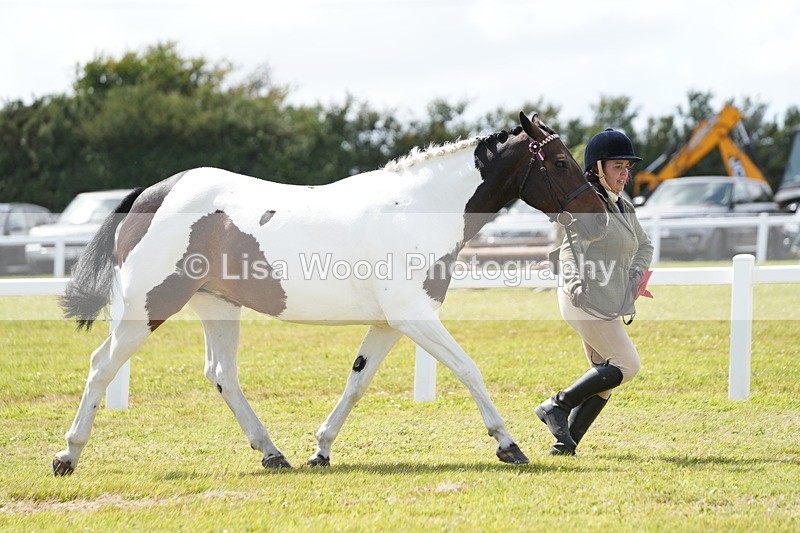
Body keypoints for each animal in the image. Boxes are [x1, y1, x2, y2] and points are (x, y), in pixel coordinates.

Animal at [52, 112, 608, 475]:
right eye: (560, 162)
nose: (600, 217)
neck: (416, 209)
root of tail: (151, 194)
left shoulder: (389, 323)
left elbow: (357, 382)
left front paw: (320, 450)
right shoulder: (414, 317)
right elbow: (468, 369)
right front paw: (508, 445)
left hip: (217, 305)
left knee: (221, 375)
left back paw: (273, 454)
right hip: (148, 307)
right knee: (102, 366)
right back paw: (67, 456)